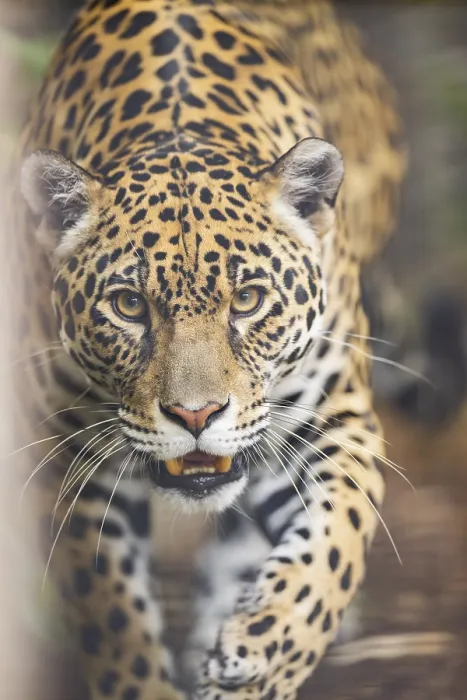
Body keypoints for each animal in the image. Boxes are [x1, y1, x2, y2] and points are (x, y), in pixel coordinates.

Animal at [13, 0, 405, 698]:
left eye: (247, 300)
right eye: (129, 305)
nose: (195, 416)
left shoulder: (340, 420)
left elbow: (333, 550)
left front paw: (264, 653)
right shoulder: (69, 456)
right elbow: (110, 614)